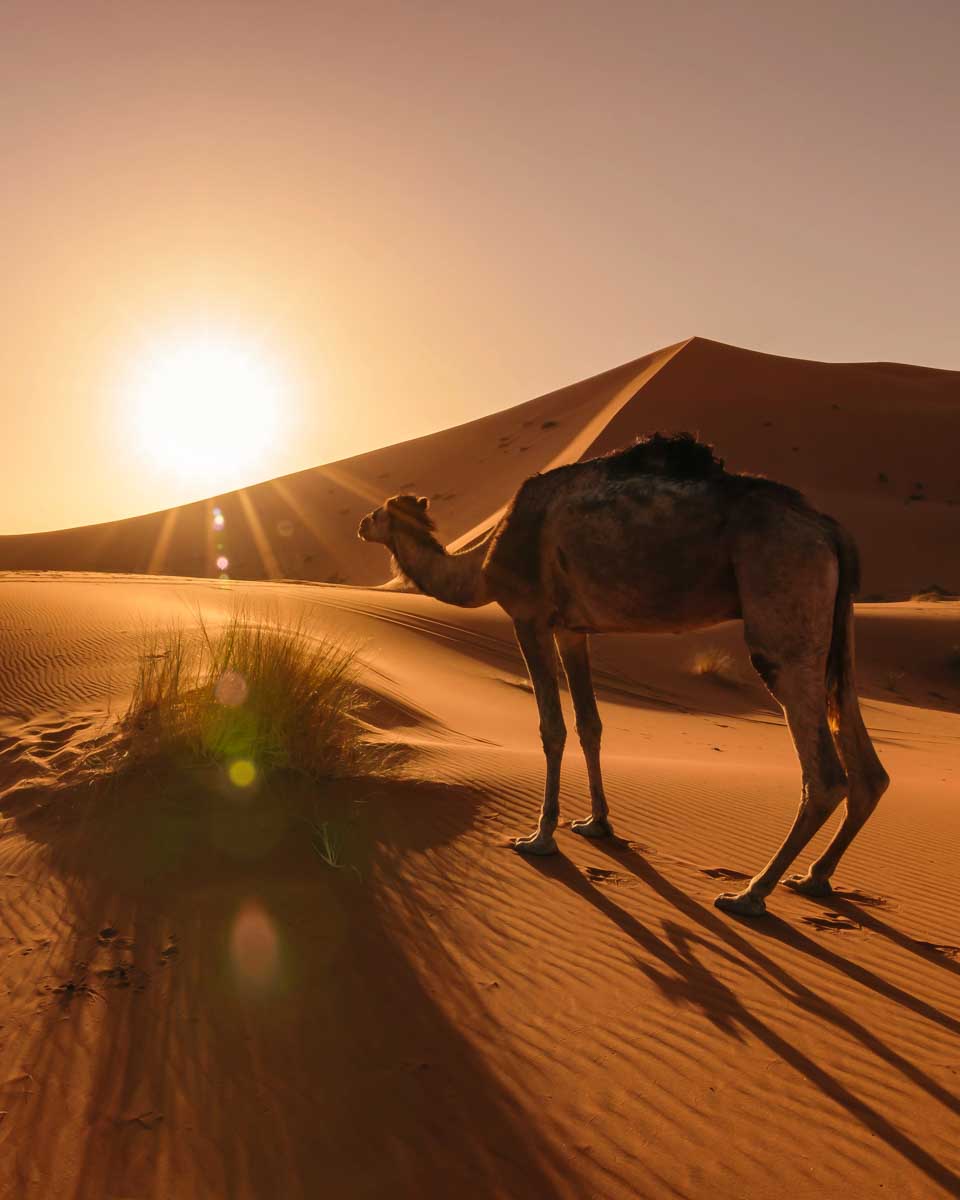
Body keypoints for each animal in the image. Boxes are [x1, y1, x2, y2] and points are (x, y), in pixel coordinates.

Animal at [358, 433, 889, 916]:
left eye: (380, 511)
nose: (361, 523)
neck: (482, 567)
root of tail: (829, 529)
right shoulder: (572, 629)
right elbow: (590, 724)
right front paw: (596, 824)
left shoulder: (528, 615)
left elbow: (552, 727)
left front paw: (540, 836)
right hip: (835, 629)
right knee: (868, 766)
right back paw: (815, 877)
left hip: (784, 603)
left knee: (824, 775)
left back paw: (750, 894)